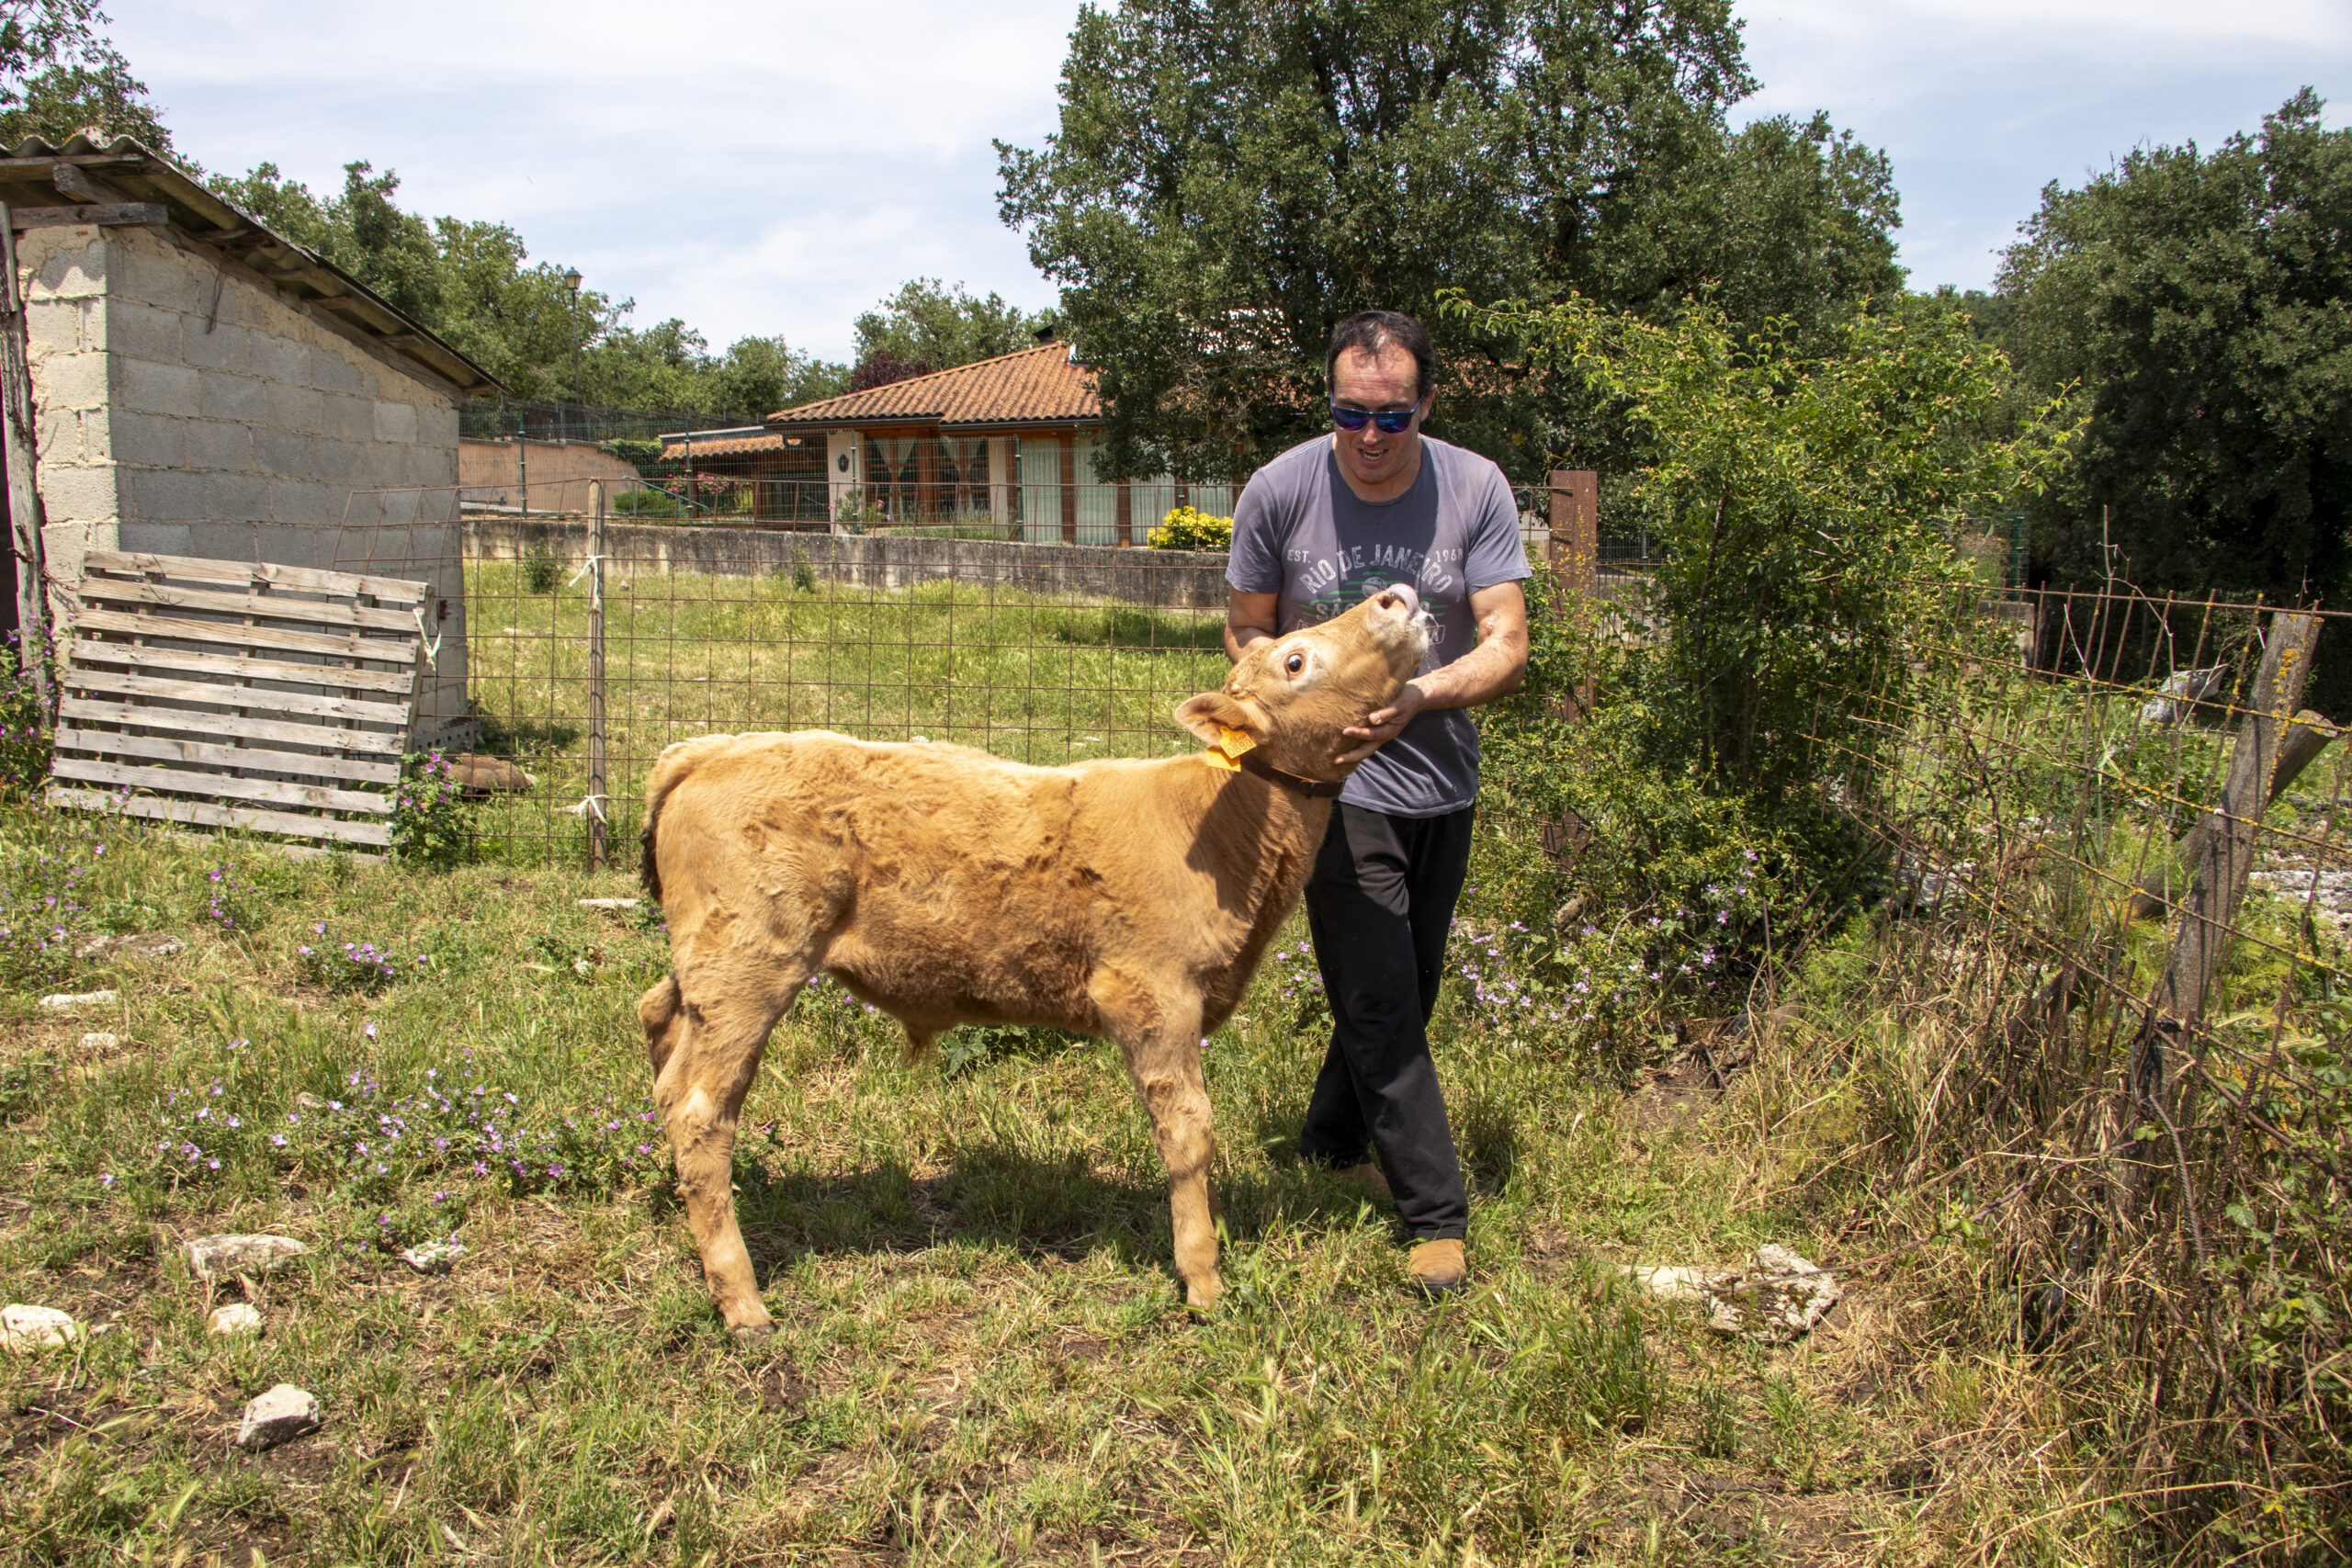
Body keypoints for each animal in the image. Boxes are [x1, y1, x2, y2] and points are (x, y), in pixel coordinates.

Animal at [635, 582, 1420, 1335]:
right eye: (1295, 660)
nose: (1398, 597)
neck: (1221, 821)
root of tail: (712, 750)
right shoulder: (1153, 993)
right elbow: (1189, 1131)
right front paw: (1202, 1278)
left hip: (706, 963)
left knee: (662, 1040)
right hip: (750, 963)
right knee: (703, 1110)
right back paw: (741, 1299)